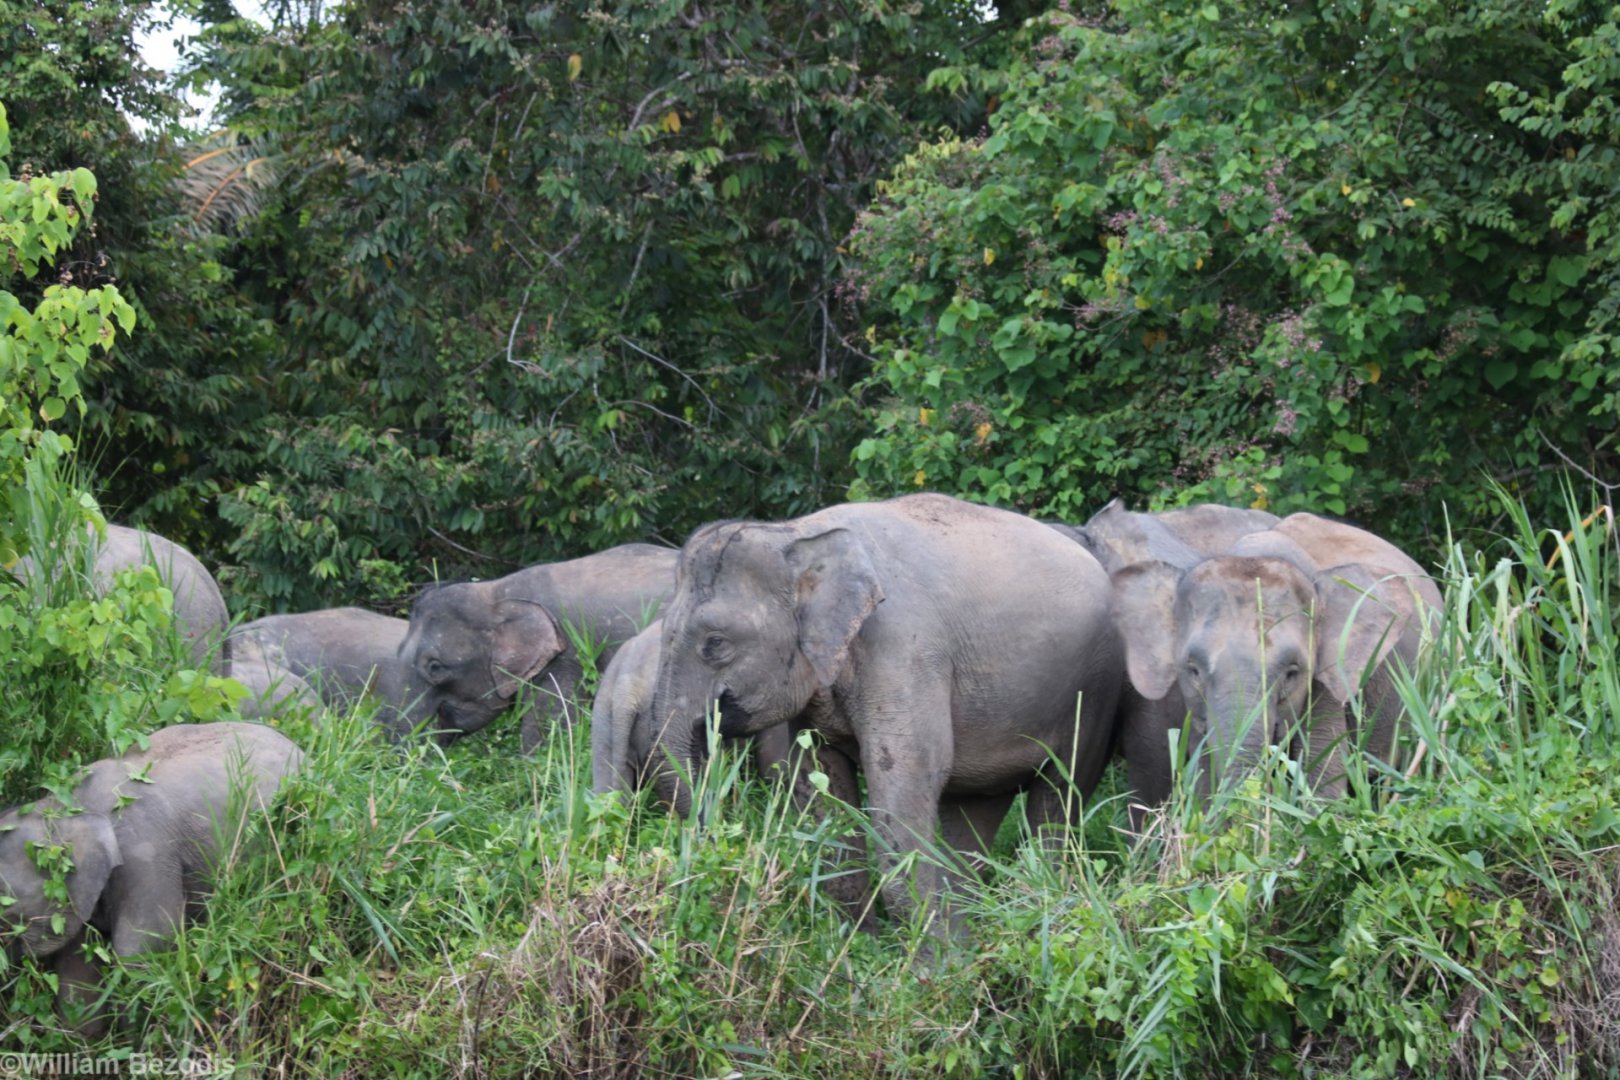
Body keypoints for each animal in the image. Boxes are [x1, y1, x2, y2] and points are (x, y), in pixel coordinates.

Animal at [646, 493, 1124, 927]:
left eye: (715, 644)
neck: (796, 533)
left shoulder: (904, 651)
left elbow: (906, 780)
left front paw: (938, 964)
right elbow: (820, 783)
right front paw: (860, 944)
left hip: (1096, 689)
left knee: (1060, 796)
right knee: (974, 810)